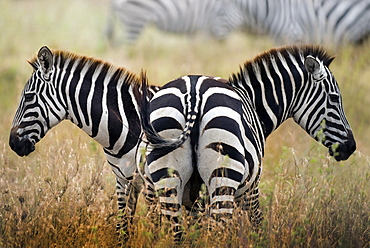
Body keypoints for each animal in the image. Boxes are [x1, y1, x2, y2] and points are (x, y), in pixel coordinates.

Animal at [8, 45, 159, 239]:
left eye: (28, 97)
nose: (12, 143)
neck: (130, 122)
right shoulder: (122, 179)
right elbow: (122, 227)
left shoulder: (150, 182)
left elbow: (154, 227)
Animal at [139, 44, 356, 240]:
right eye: (334, 98)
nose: (351, 147)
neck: (253, 103)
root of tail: (194, 95)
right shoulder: (251, 188)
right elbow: (257, 224)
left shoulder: (195, 200)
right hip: (224, 176)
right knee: (217, 232)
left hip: (166, 179)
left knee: (174, 231)